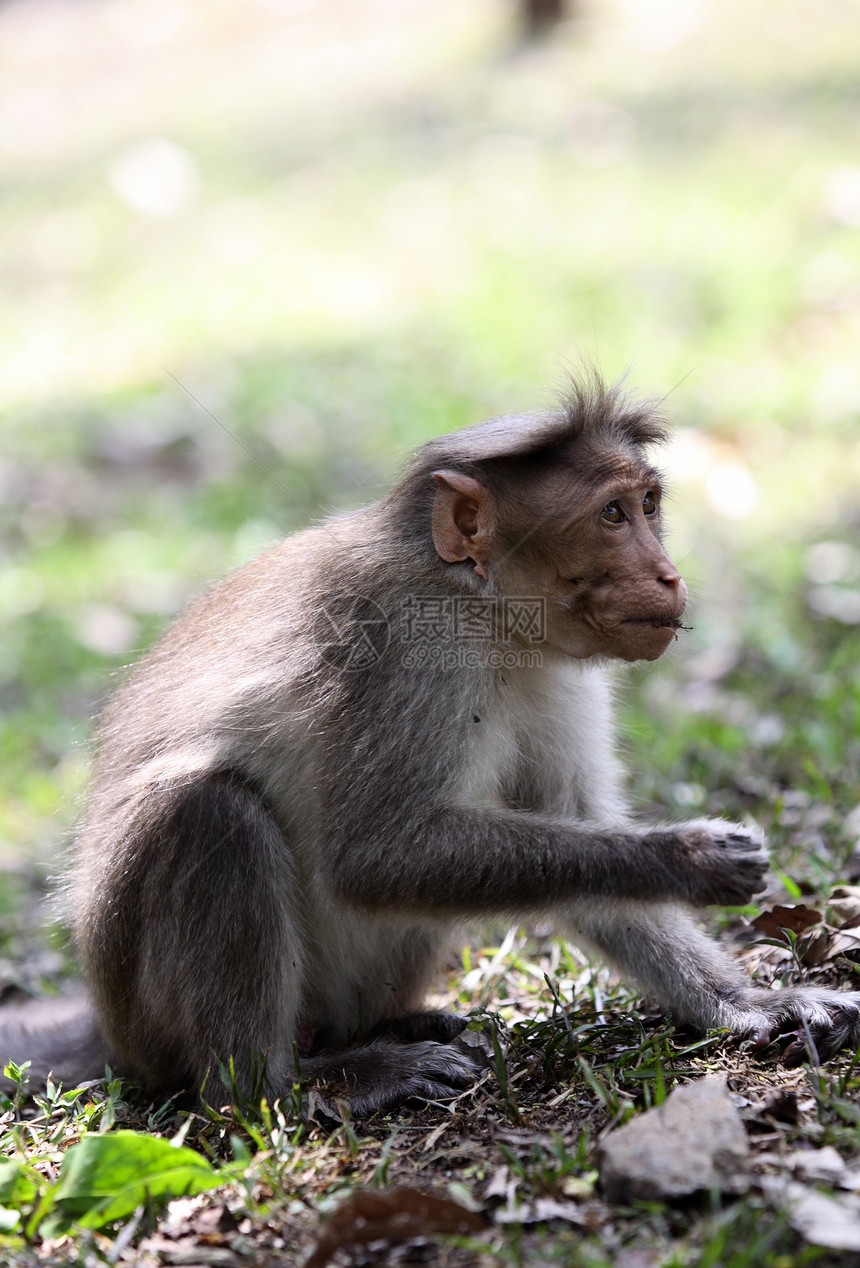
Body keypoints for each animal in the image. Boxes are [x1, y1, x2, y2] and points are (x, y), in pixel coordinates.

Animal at [1, 370, 860, 1115]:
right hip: (144, 1008)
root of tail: (107, 1028)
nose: (669, 575)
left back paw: (385, 1029)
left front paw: (747, 1001)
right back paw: (289, 1086)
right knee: (209, 811)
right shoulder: (407, 645)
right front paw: (685, 858)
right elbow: (375, 854)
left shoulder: (556, 671)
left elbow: (577, 831)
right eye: (613, 515)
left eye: (650, 503)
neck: (485, 607)